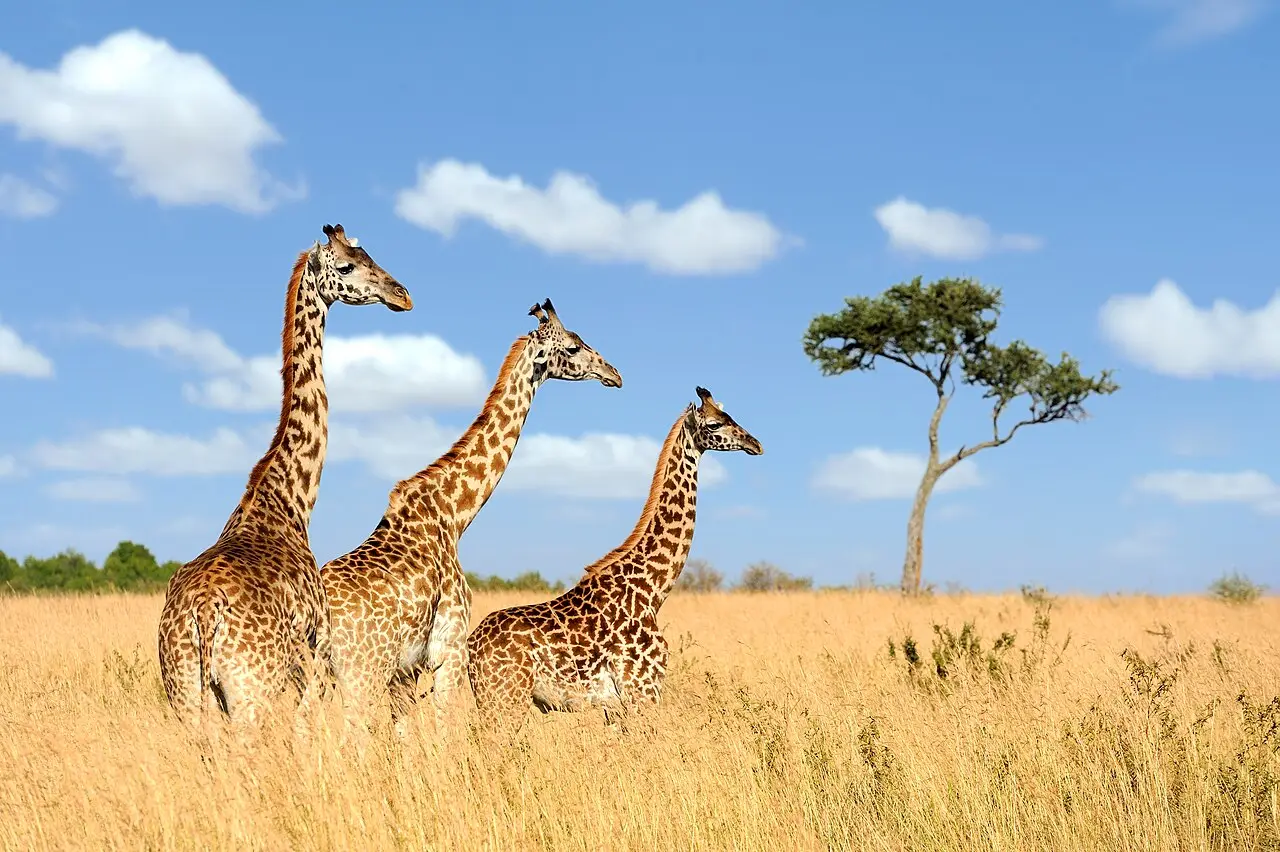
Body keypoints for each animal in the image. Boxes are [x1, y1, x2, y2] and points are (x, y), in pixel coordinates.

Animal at [157, 224, 413, 730]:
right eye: (347, 265)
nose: (403, 295)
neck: (290, 498)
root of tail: (203, 613)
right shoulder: (316, 652)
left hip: (185, 693)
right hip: (250, 692)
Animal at [320, 298, 622, 736]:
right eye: (572, 346)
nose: (614, 374)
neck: (454, 514)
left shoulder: (407, 670)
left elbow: (404, 735)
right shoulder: (449, 649)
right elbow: (445, 730)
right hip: (361, 670)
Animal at [465, 386, 763, 736]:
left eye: (731, 416)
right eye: (716, 424)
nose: (755, 444)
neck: (653, 589)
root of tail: (470, 646)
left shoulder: (618, 705)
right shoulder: (642, 689)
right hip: (505, 698)